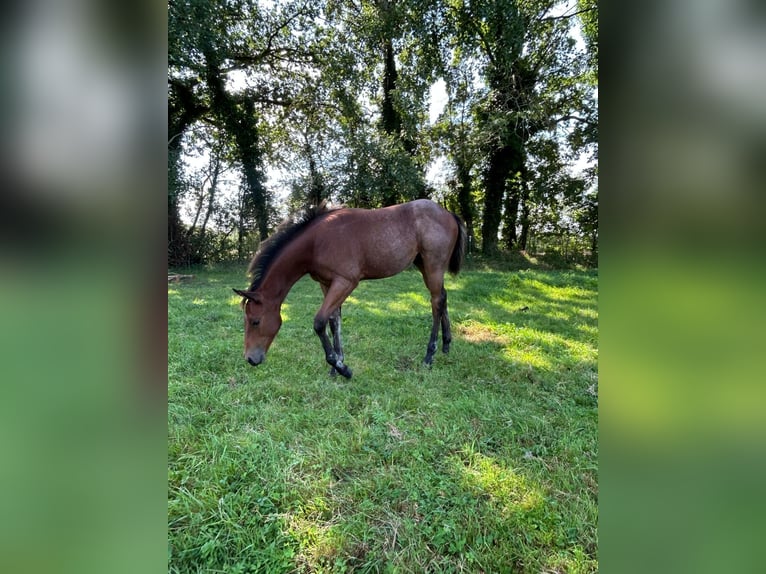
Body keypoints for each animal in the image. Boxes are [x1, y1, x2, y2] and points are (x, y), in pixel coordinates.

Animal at [233, 199, 466, 379]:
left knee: (436, 302)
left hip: (433, 265)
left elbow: (320, 322)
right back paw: (446, 345)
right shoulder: (326, 283)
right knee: (442, 297)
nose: (250, 359)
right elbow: (334, 321)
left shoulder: (345, 282)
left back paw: (429, 355)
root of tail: (447, 213)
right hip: (424, 265)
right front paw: (336, 366)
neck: (317, 243)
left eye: (255, 321)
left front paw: (342, 368)